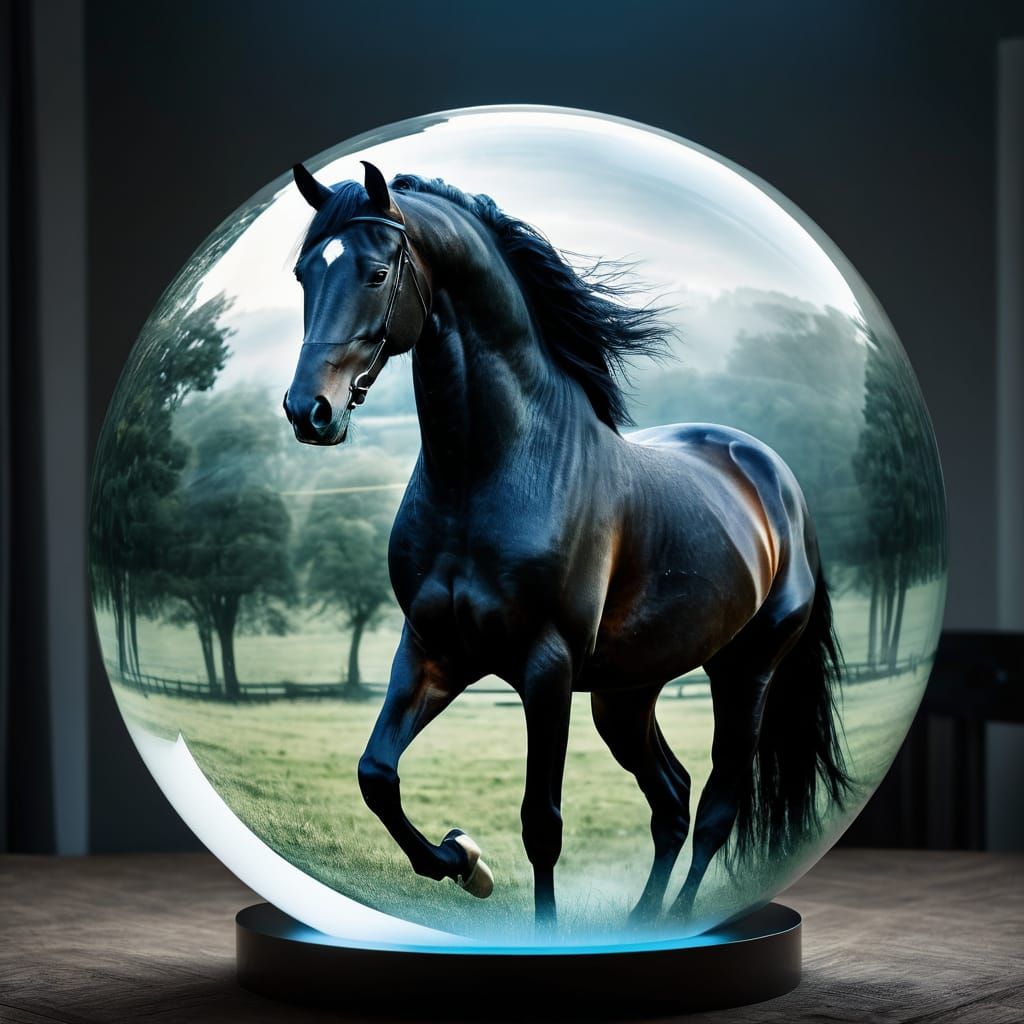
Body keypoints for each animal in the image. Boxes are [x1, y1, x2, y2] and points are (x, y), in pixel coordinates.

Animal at [283, 160, 850, 929]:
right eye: (304, 273)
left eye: (374, 273)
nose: (308, 411)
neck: (490, 474)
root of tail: (776, 481)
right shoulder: (432, 651)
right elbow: (377, 775)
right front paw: (463, 859)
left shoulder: (545, 671)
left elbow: (541, 826)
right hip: (626, 694)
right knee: (671, 799)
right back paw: (640, 922)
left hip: (745, 674)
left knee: (714, 809)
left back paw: (674, 921)